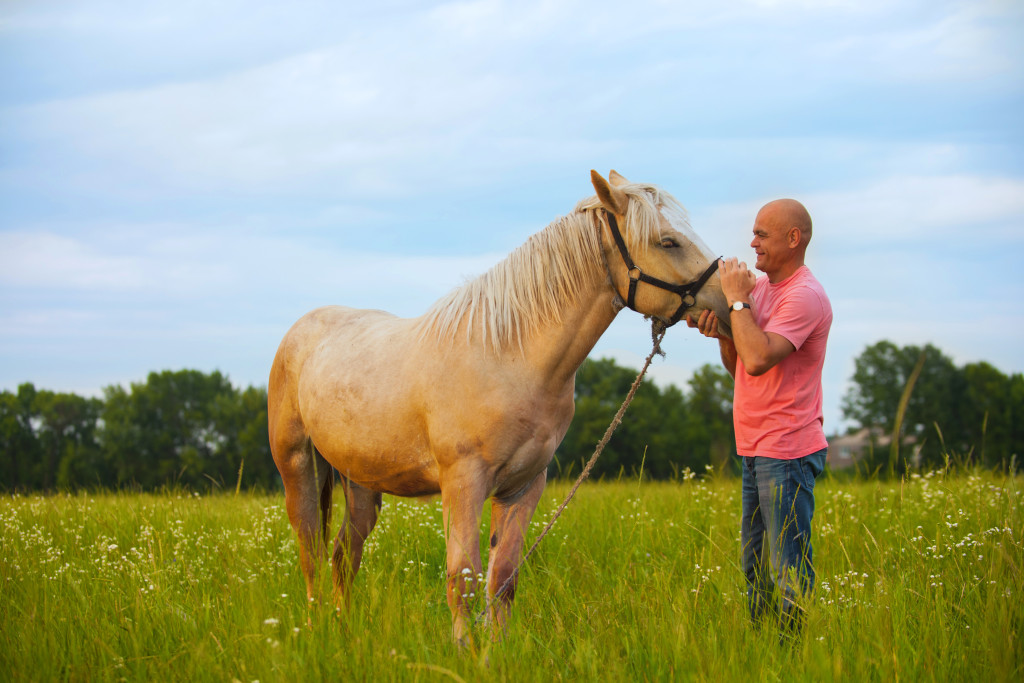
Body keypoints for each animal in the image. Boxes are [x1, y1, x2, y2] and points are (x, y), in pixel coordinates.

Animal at [268, 171, 724, 643]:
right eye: (668, 241)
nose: (727, 301)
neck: (509, 355)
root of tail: (302, 329)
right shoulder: (463, 483)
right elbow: (463, 577)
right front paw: (465, 650)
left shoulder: (524, 486)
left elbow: (502, 577)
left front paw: (498, 650)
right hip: (297, 467)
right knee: (310, 553)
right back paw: (316, 633)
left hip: (361, 483)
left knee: (343, 557)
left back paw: (342, 633)